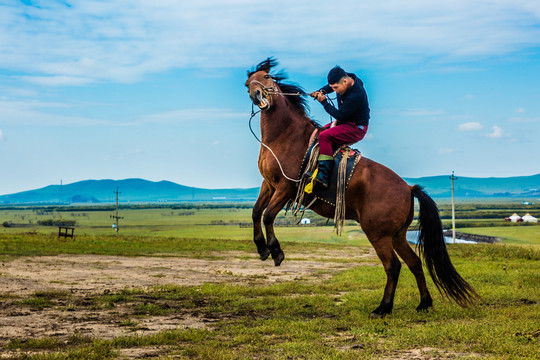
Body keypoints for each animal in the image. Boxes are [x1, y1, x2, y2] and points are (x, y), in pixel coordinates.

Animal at [247, 59, 478, 318]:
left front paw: (276, 251)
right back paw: (424, 303)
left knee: (393, 266)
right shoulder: (269, 184)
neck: (286, 136)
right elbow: (256, 212)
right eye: (248, 83)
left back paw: (383, 307)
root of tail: (408, 188)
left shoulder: (286, 186)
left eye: (266, 77)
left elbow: (268, 215)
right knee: (414, 263)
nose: (257, 95)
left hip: (377, 234)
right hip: (396, 235)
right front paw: (262, 248)